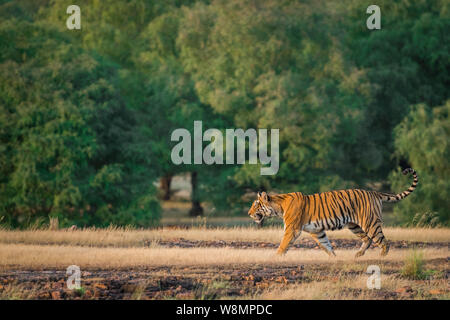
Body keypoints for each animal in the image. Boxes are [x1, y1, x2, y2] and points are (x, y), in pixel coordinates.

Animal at [248, 168, 416, 258]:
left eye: (256, 205)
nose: (249, 213)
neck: (279, 205)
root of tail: (374, 192)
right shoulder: (317, 231)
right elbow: (326, 245)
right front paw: (334, 258)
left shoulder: (292, 229)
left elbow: (284, 244)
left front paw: (275, 257)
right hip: (354, 225)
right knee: (367, 239)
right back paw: (358, 255)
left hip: (370, 223)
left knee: (383, 242)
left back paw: (381, 257)